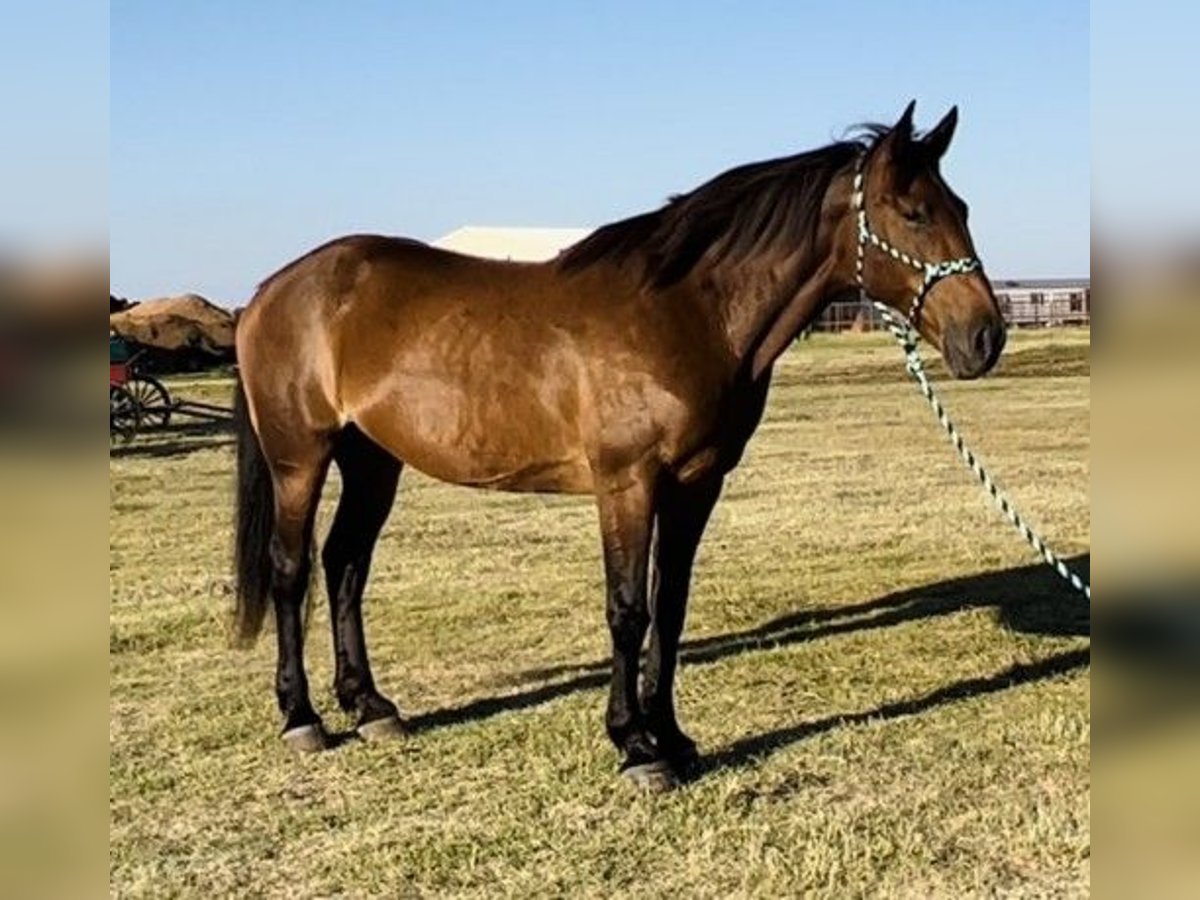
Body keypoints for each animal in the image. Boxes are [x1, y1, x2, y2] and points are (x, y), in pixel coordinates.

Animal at [231, 103, 1003, 787]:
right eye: (914, 213)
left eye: (963, 207)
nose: (985, 337)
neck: (688, 310)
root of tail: (270, 290)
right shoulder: (627, 482)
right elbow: (628, 609)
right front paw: (635, 746)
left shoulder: (697, 484)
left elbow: (671, 605)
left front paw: (674, 736)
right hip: (300, 459)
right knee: (292, 571)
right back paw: (303, 718)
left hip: (372, 461)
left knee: (345, 564)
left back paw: (371, 707)